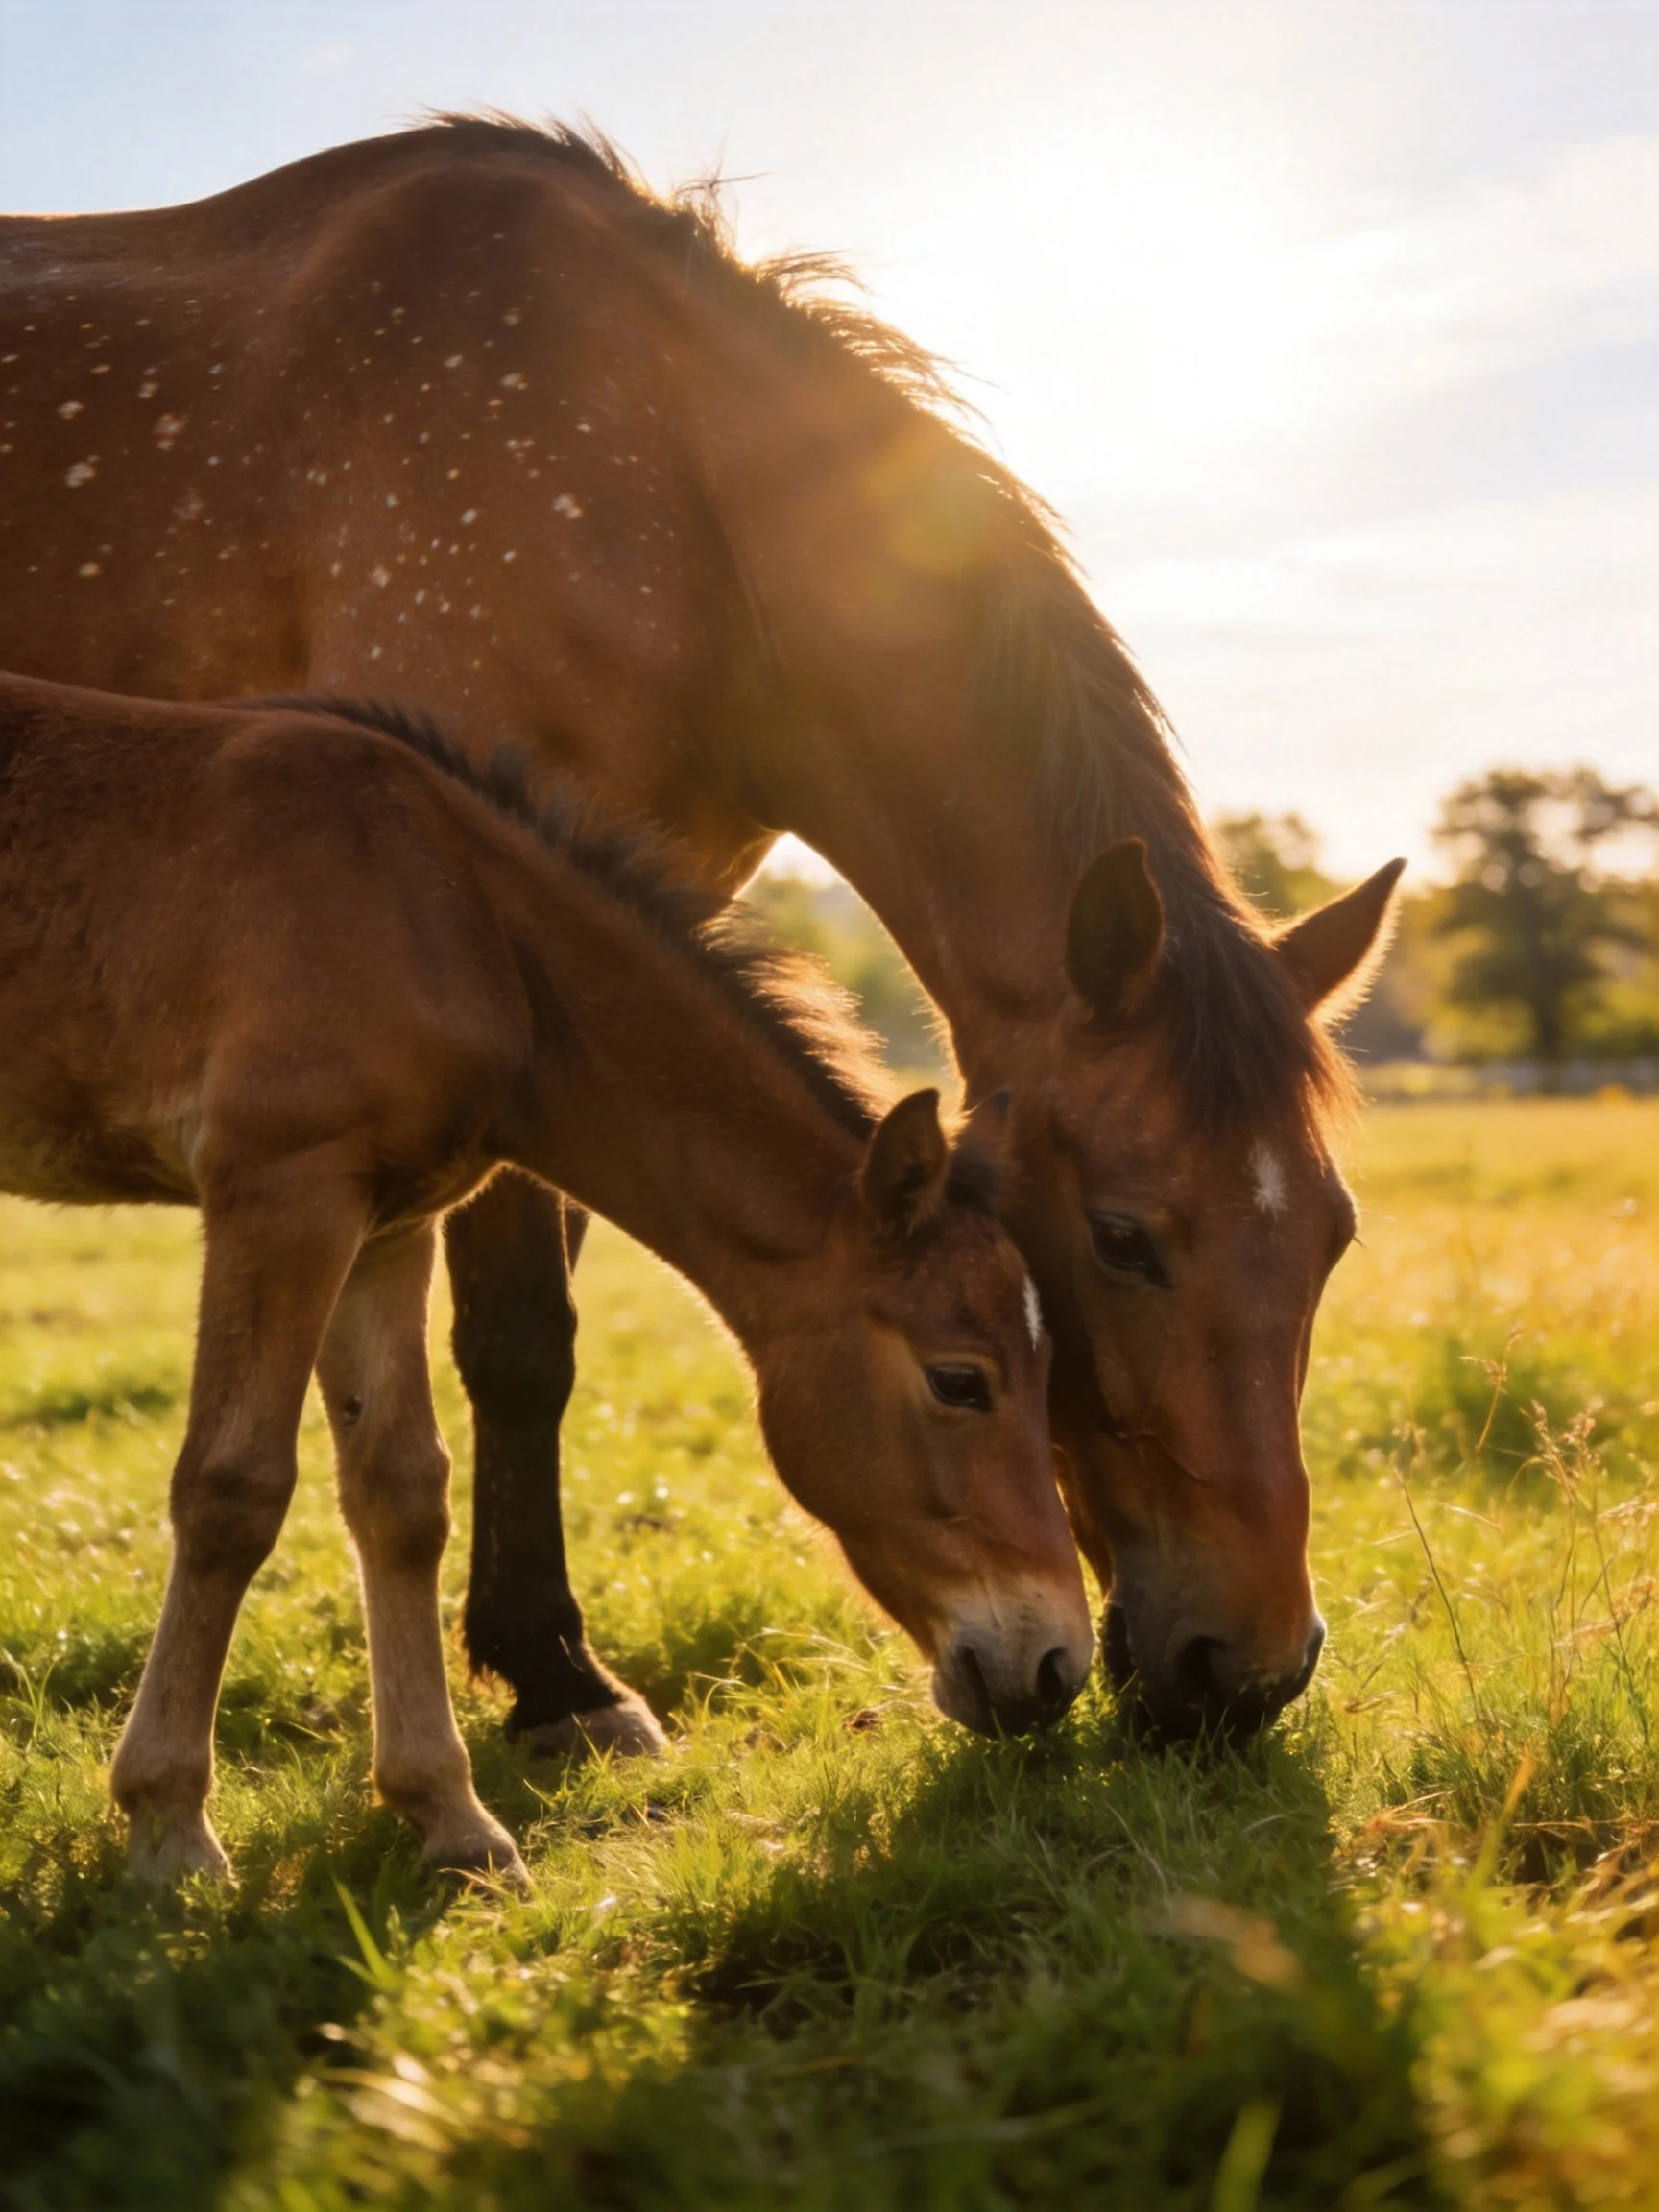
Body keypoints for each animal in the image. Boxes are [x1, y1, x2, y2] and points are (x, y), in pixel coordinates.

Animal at [0, 119, 1401, 1743]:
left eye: (1334, 1235)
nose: (1250, 1668)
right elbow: (520, 1341)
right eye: (1121, 1237)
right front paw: (555, 1675)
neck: (654, 468)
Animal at [0, 672, 1092, 1883]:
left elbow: (400, 1493)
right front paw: (170, 1830)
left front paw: (451, 1819)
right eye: (960, 1381)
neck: (446, 910)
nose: (1054, 1666)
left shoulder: (386, 1224)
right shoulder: (281, 1190)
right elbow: (232, 1489)